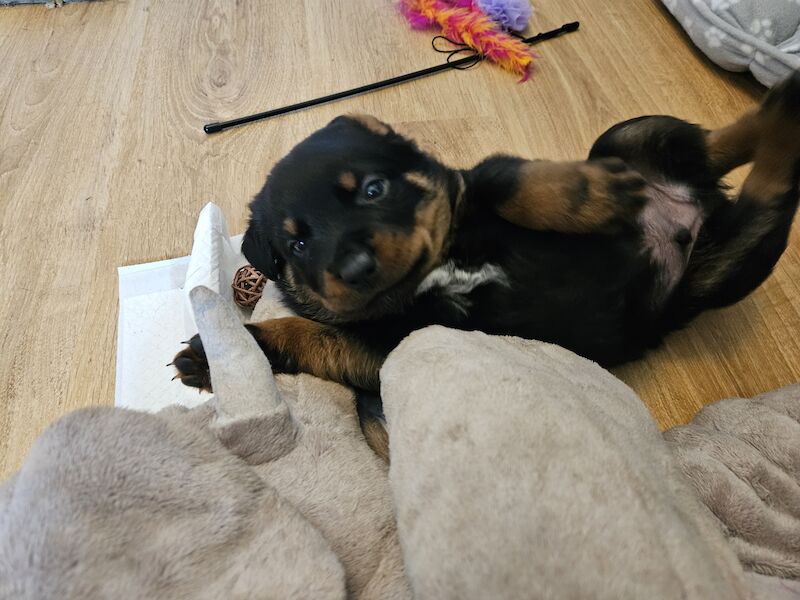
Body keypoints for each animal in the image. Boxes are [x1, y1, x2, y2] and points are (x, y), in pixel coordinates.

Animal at [175, 74, 800, 404]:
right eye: (298, 246)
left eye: (375, 189)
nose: (353, 269)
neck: (437, 268)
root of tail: (698, 203)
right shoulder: (389, 345)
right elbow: (310, 335)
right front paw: (213, 357)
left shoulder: (469, 187)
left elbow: (508, 179)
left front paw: (590, 197)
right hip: (719, 265)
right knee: (765, 184)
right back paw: (784, 106)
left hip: (626, 137)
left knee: (716, 147)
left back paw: (778, 100)